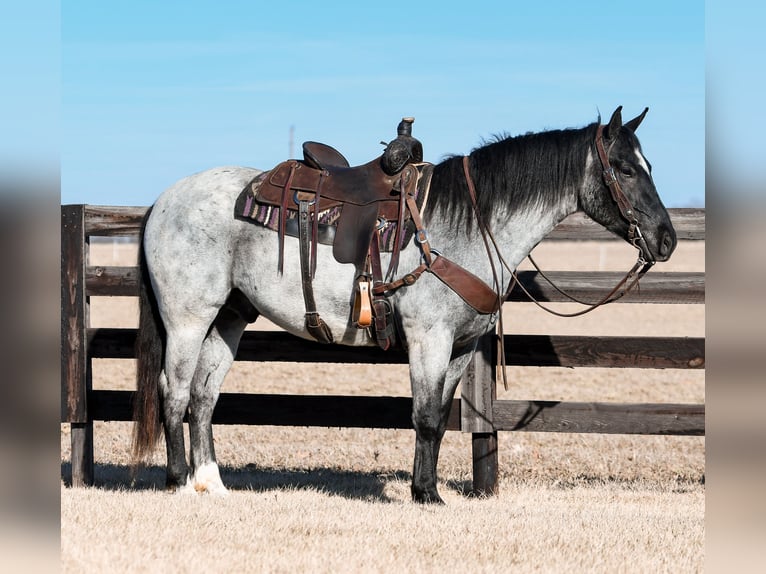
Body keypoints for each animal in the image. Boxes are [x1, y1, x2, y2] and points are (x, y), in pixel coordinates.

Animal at [130, 108, 680, 504]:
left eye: (650, 166)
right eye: (625, 168)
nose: (667, 239)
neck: (467, 226)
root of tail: (164, 201)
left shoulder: (462, 346)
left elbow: (438, 414)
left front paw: (426, 488)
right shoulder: (428, 338)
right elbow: (425, 416)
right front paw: (426, 494)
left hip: (229, 318)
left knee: (204, 397)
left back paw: (212, 484)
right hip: (187, 319)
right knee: (174, 393)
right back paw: (178, 482)